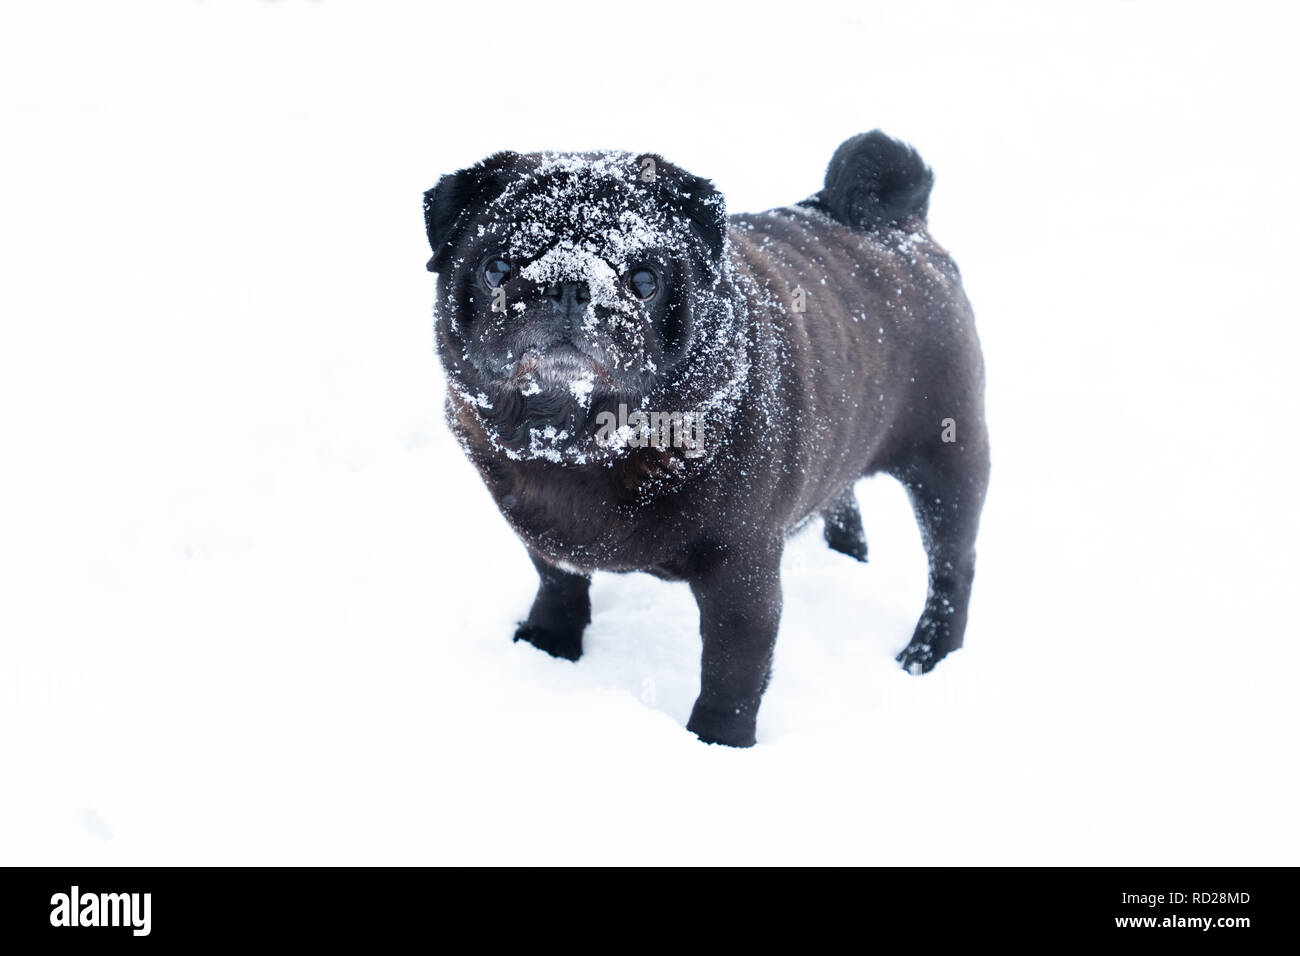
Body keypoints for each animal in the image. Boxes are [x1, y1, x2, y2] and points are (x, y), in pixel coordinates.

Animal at [423, 130, 982, 749]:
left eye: (644, 280)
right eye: (497, 268)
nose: (569, 285)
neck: (579, 440)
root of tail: (900, 223)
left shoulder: (741, 573)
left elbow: (732, 668)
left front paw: (717, 741)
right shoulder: (540, 530)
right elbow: (558, 581)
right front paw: (550, 642)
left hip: (948, 462)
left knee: (952, 567)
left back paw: (927, 652)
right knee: (842, 497)